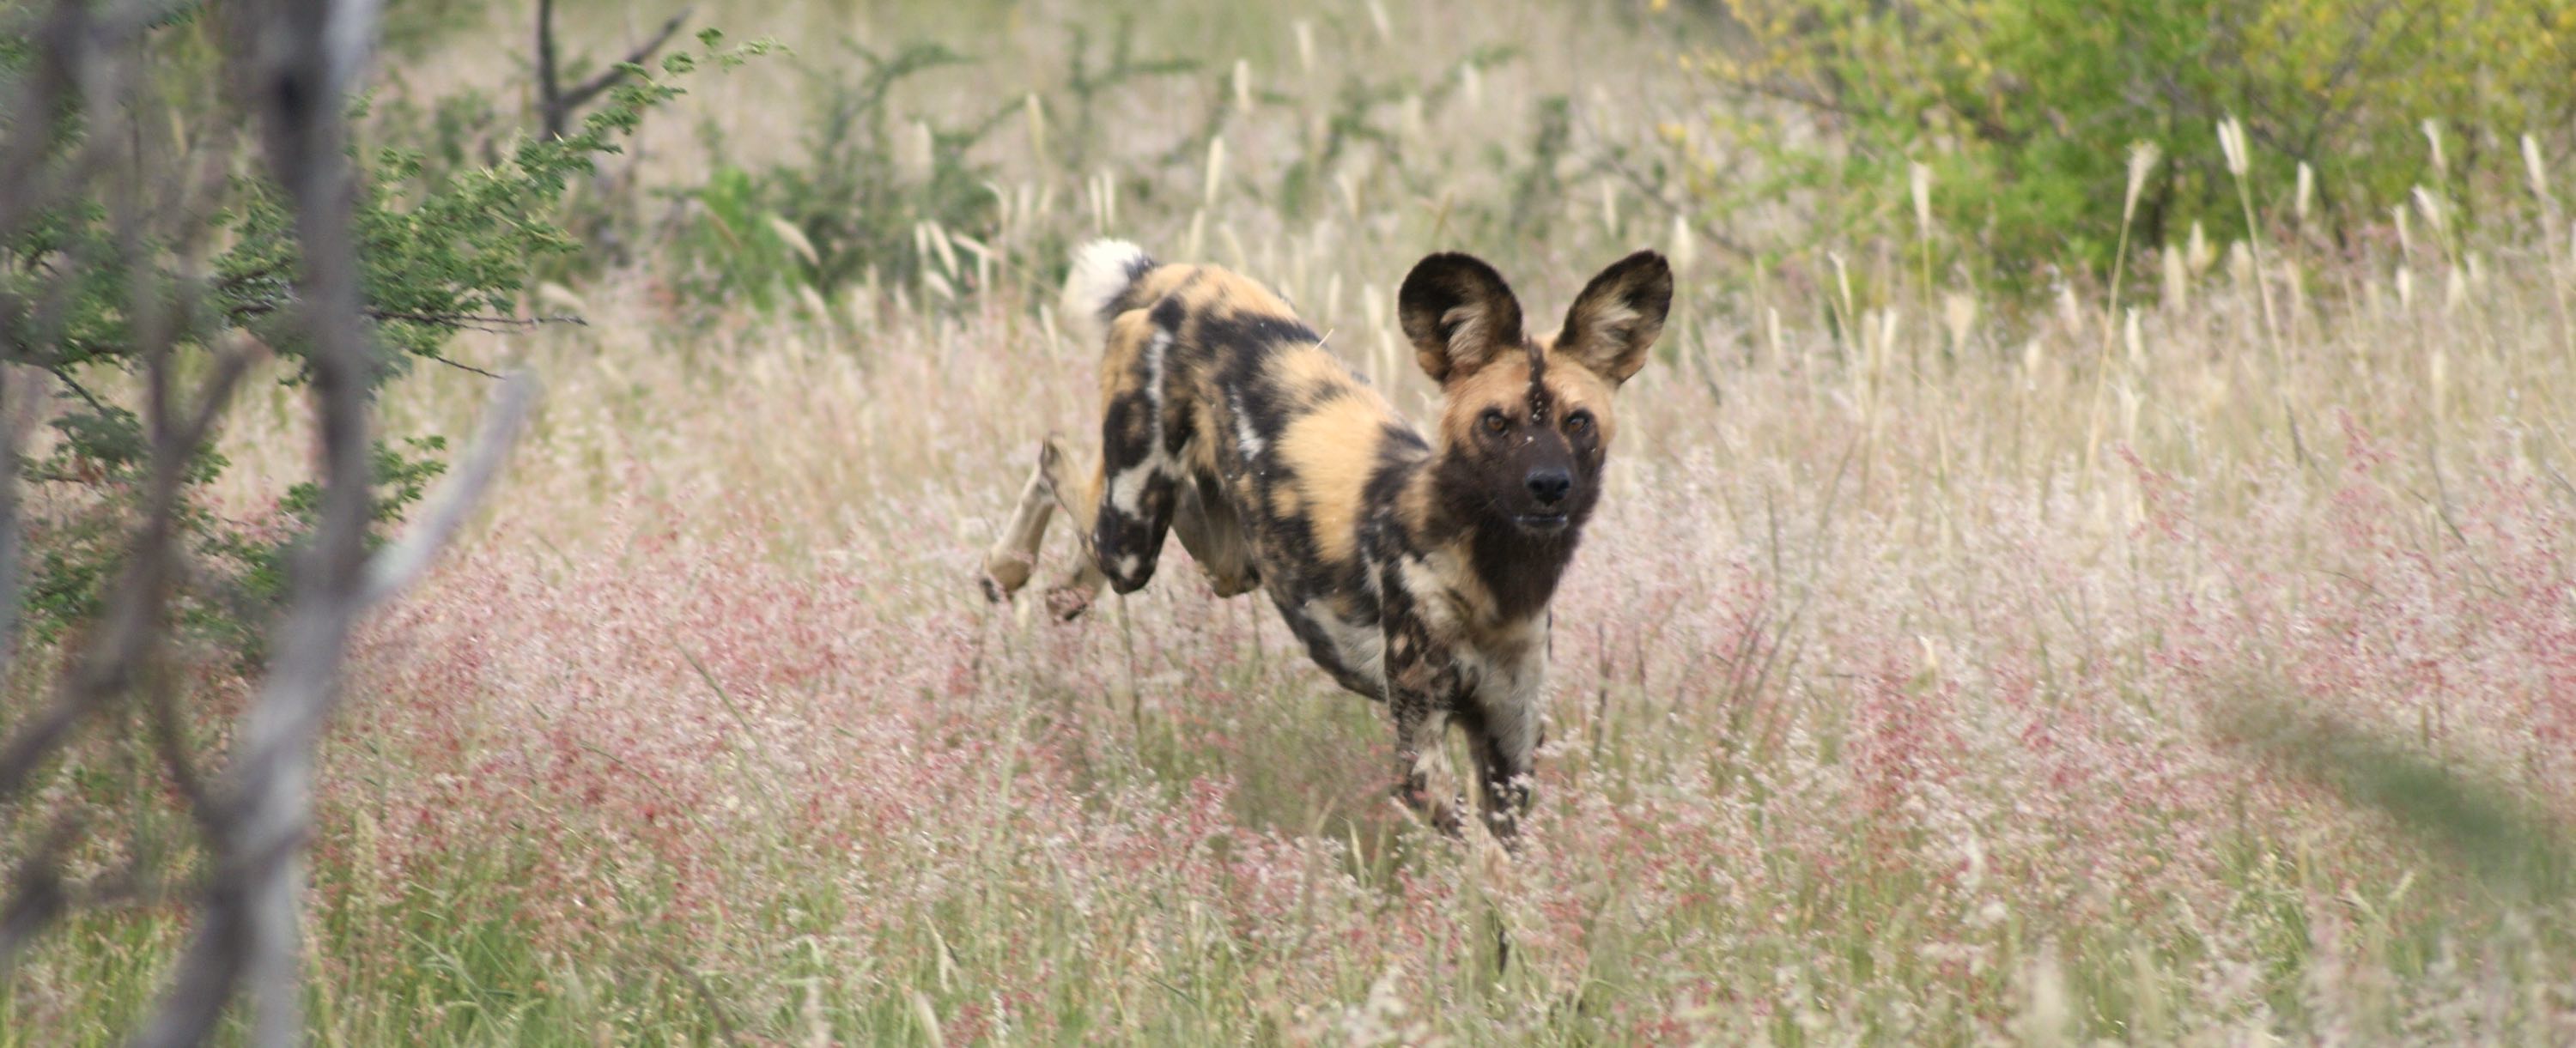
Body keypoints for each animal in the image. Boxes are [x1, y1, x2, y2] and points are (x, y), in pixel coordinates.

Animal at [979, 242, 1669, 850]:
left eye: (1577, 421)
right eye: (1496, 422)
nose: (1549, 486)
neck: (1494, 578)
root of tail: (1183, 278)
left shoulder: (1511, 754)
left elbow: (1507, 886)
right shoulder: (1421, 764)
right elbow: (1482, 864)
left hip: (1228, 553)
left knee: (1121, 512)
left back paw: (1062, 589)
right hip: (1134, 532)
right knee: (1054, 455)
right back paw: (1006, 568)